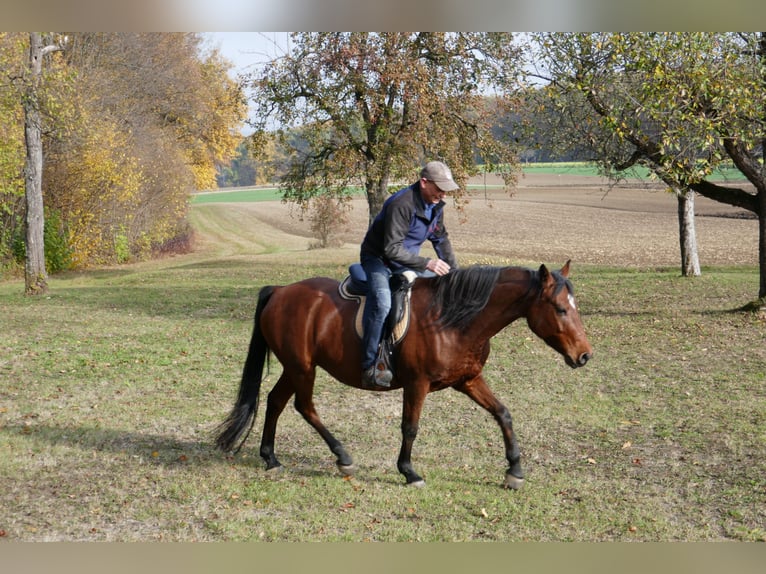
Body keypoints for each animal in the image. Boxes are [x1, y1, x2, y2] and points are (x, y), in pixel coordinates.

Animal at [216, 262, 592, 490]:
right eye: (561, 309)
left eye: (576, 308)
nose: (584, 355)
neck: (454, 319)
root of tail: (280, 290)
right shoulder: (417, 383)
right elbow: (410, 427)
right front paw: (409, 472)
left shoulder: (468, 380)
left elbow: (503, 413)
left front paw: (514, 470)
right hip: (302, 368)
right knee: (303, 407)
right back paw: (343, 457)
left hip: (294, 368)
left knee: (276, 401)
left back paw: (271, 458)